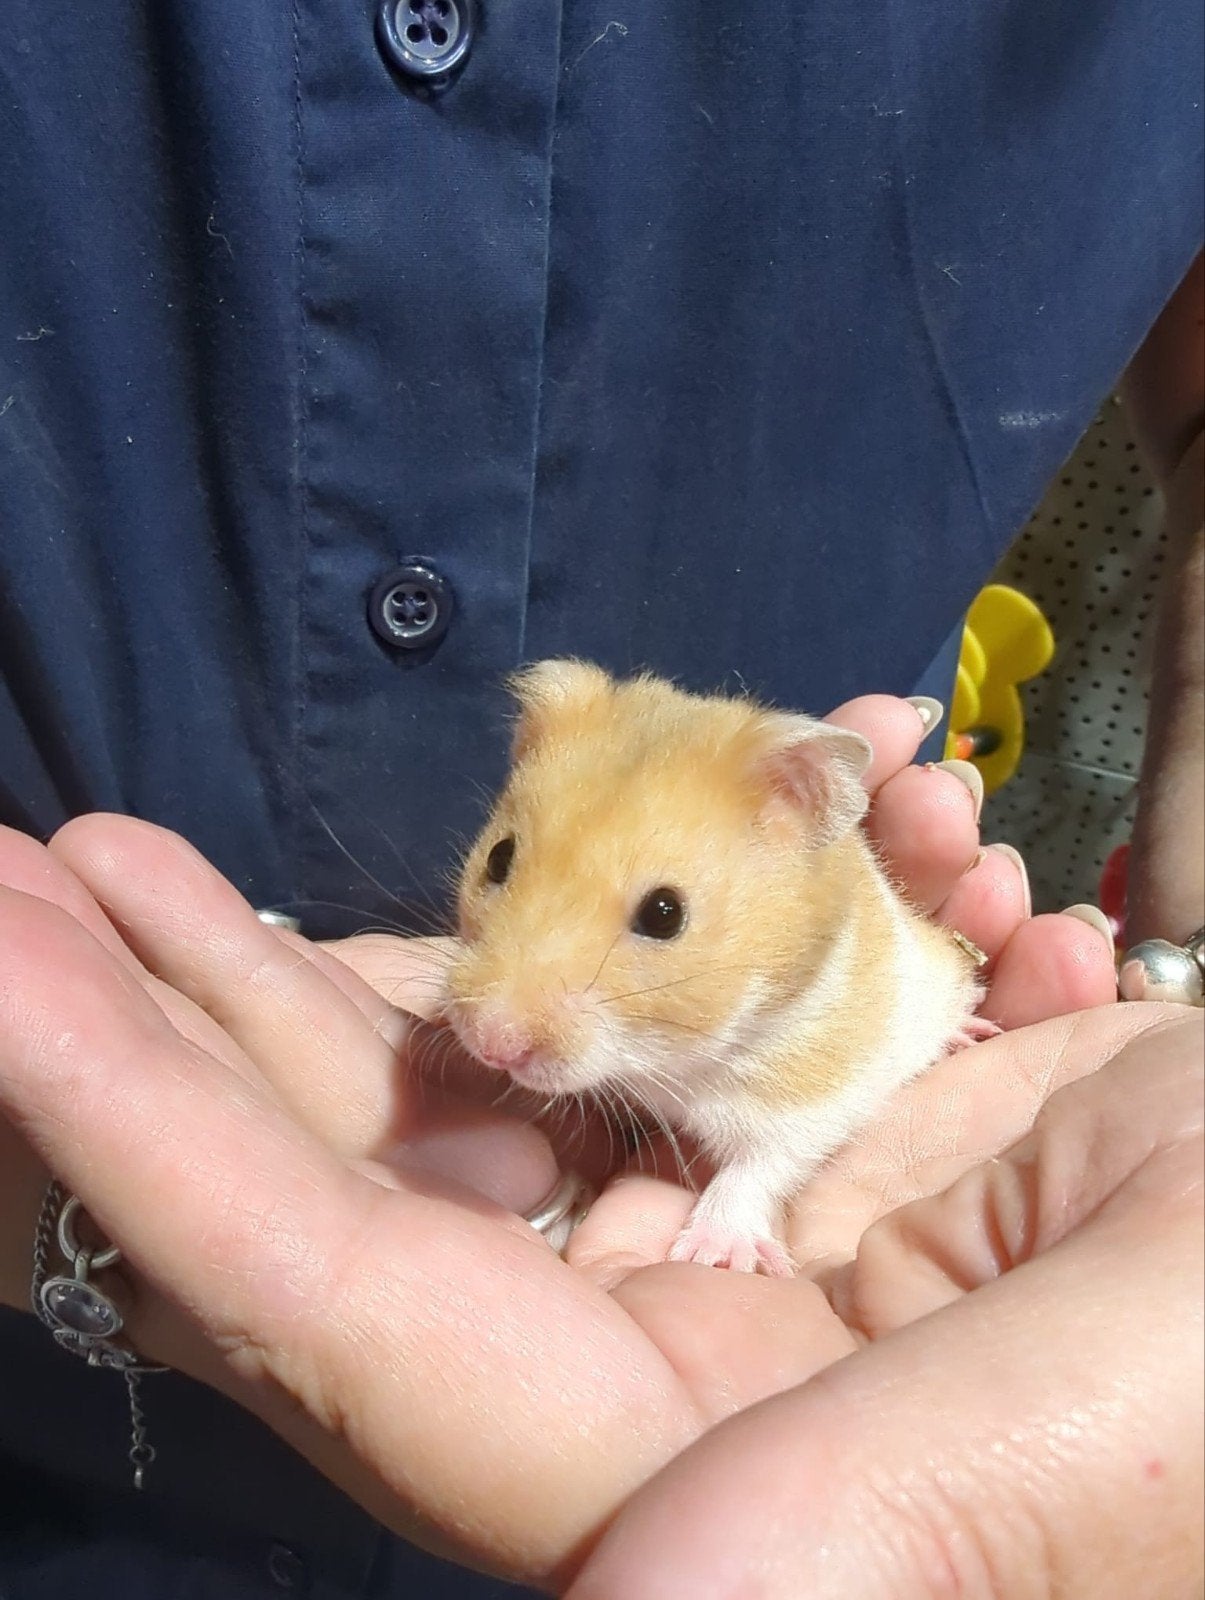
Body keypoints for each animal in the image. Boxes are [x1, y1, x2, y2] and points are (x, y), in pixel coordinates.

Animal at [443, 660, 993, 1275]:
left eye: (665, 914)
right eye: (498, 858)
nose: (490, 1043)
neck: (668, 1061)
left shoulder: (813, 1092)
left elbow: (760, 1167)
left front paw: (714, 1254)